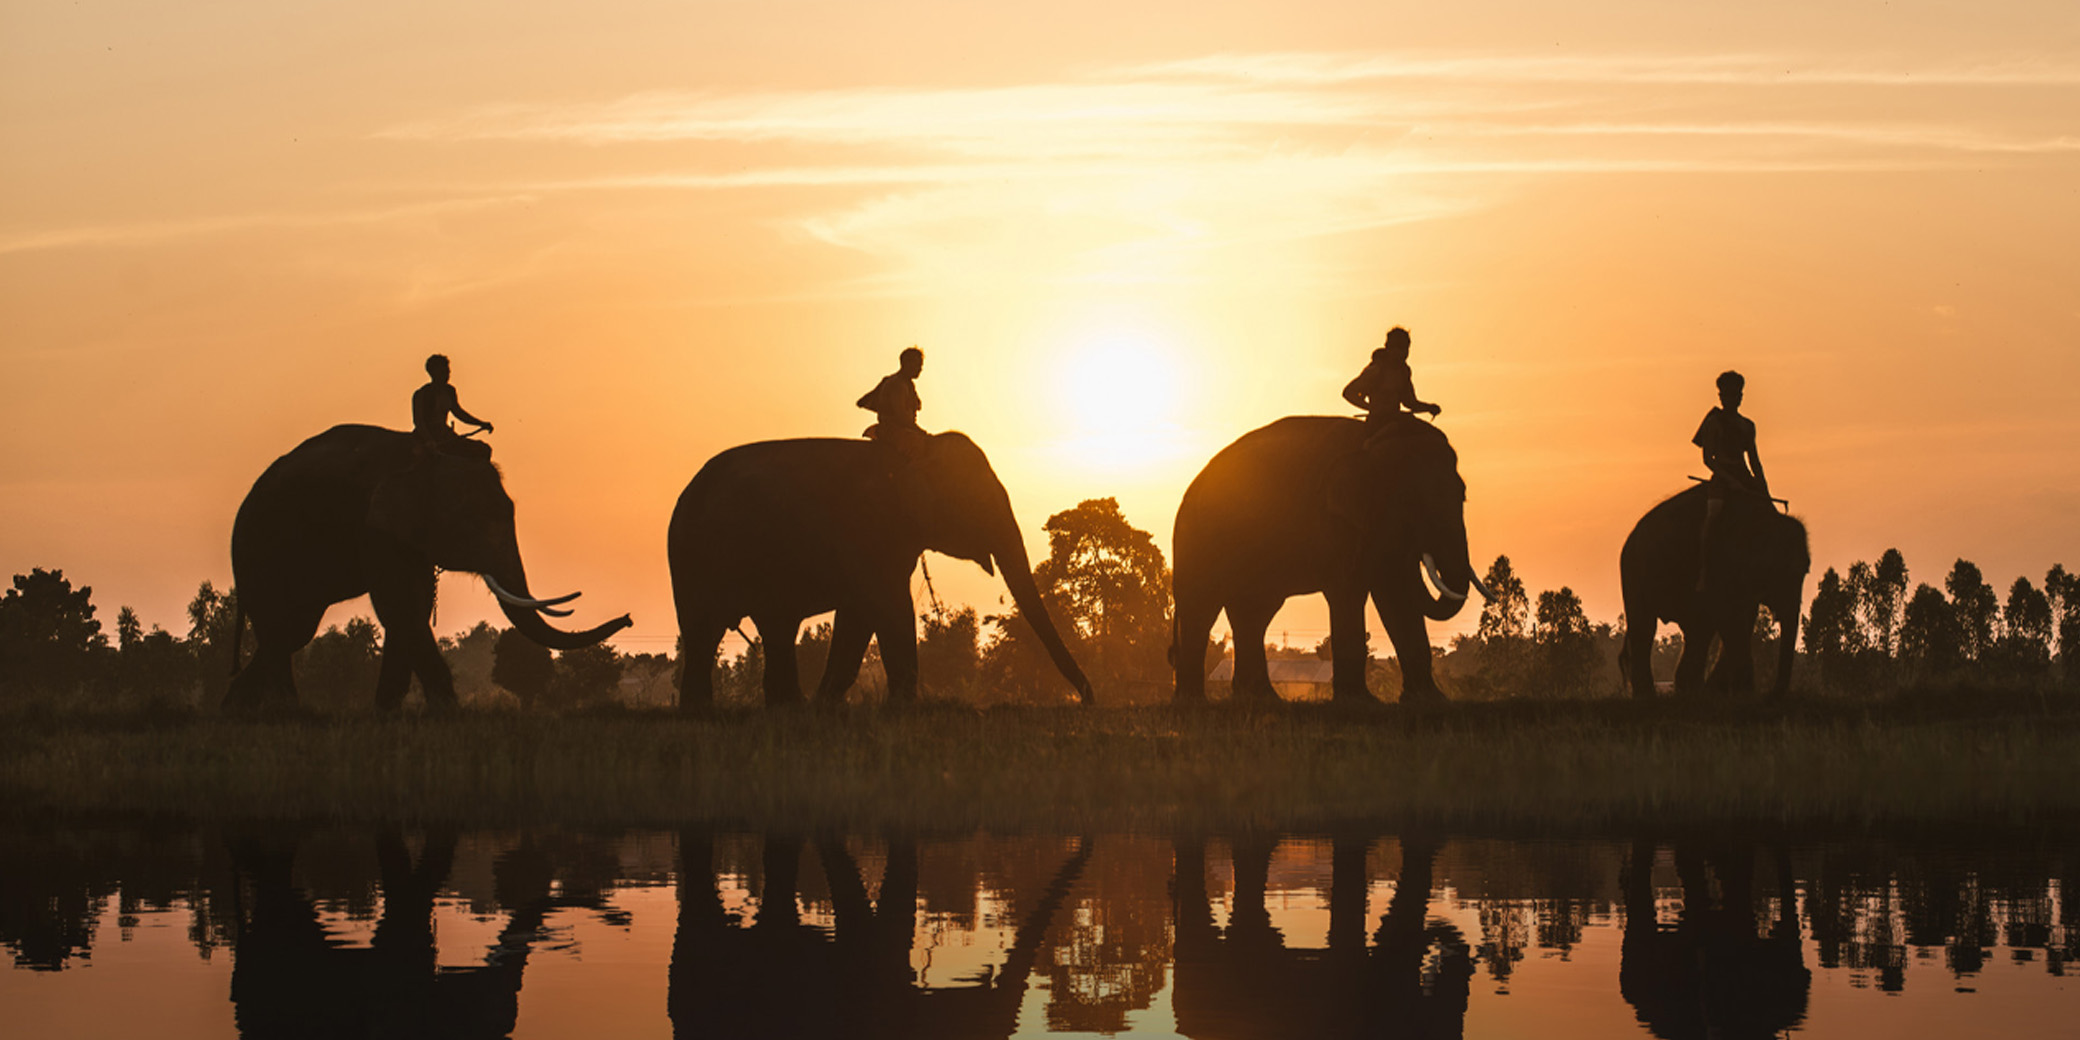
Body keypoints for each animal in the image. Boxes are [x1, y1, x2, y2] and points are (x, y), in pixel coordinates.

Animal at [669, 428, 1098, 707]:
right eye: (979, 501)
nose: (1087, 699)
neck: (916, 450)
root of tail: (686, 491)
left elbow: (857, 617)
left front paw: (828, 706)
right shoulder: (873, 532)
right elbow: (888, 608)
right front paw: (903, 709)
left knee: (769, 627)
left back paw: (783, 708)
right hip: (696, 559)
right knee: (707, 629)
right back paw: (712, 712)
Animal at [1614, 484, 1813, 698]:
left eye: (1805, 571)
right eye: (1772, 570)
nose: (1771, 694)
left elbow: (1742, 619)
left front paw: (1724, 691)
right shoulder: (1720, 564)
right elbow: (1729, 619)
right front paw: (1742, 693)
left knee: (1697, 631)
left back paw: (1691, 690)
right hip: (1633, 572)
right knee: (1645, 627)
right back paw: (1651, 695)